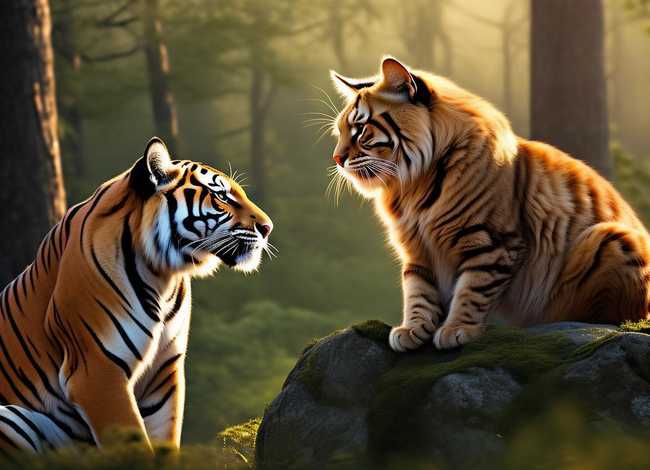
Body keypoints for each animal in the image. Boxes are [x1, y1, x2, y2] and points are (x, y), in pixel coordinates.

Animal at [328, 56, 650, 352]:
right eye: (340, 132)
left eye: (360, 130)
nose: (337, 159)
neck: (412, 185)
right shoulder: (416, 248)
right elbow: (418, 289)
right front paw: (412, 329)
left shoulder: (490, 240)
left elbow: (473, 288)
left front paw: (456, 329)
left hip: (612, 237)